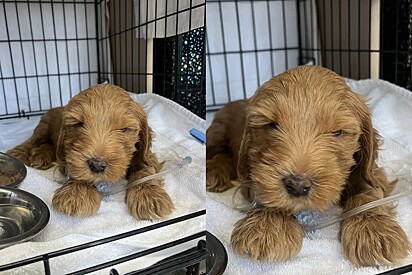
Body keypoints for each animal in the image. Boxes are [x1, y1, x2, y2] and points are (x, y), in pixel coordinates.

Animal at [8, 84, 172, 220]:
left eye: (124, 129)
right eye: (80, 124)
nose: (97, 165)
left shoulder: (145, 154)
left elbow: (145, 169)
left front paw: (149, 196)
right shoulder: (69, 156)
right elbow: (77, 169)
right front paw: (77, 193)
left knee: (49, 146)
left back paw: (40, 156)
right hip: (43, 126)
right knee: (33, 140)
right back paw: (19, 154)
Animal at [208, 66, 410, 268]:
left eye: (337, 132)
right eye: (272, 125)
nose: (297, 185)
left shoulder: (370, 171)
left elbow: (368, 190)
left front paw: (374, 231)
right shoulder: (252, 175)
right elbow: (267, 192)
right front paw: (266, 226)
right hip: (217, 131)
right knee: (219, 153)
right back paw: (213, 173)